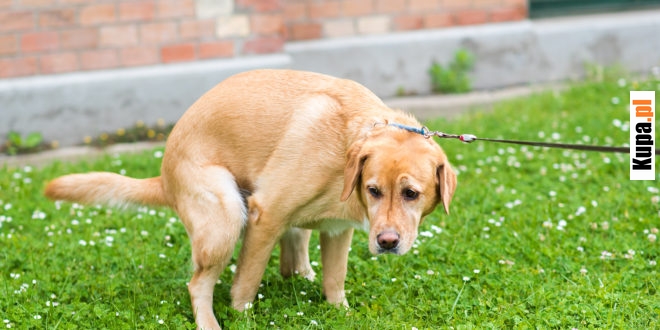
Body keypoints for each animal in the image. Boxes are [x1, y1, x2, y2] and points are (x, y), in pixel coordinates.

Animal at [43, 69, 456, 328]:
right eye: (374, 190)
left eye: (411, 194)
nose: (387, 242)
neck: (346, 147)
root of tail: (164, 175)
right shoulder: (265, 215)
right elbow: (245, 283)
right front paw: (242, 316)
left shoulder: (338, 231)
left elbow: (335, 281)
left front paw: (342, 312)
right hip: (225, 217)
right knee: (198, 285)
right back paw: (209, 323)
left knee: (293, 259)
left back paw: (302, 275)